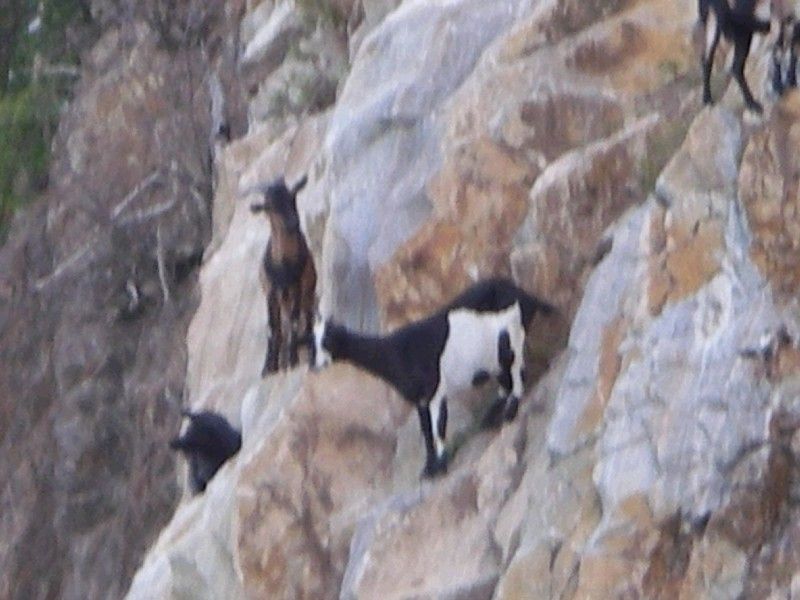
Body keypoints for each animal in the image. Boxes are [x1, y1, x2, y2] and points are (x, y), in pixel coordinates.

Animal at [249, 175, 317, 376]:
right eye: (268, 206)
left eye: (293, 196)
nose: (292, 223)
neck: (283, 266)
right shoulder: (270, 291)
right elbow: (273, 328)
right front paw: (268, 368)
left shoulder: (297, 287)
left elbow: (294, 322)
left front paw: (293, 360)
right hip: (283, 299)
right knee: (283, 326)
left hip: (307, 293)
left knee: (306, 320)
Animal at [310, 277, 556, 478]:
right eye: (309, 344)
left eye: (328, 341)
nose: (314, 365)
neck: (398, 352)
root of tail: (524, 294)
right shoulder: (420, 399)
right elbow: (427, 433)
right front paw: (428, 469)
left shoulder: (434, 391)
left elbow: (438, 429)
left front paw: (440, 467)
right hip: (494, 356)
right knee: (505, 380)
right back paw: (492, 418)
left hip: (510, 339)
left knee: (517, 374)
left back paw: (509, 413)